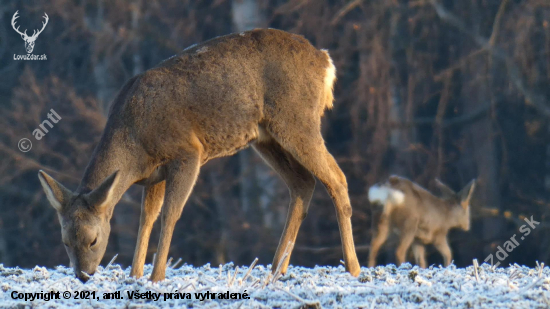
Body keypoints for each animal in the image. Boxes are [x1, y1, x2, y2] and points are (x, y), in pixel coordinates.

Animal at [40, 28, 366, 282]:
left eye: (93, 240)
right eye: (65, 241)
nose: (83, 275)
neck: (133, 143)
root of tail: (325, 62)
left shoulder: (186, 151)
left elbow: (170, 214)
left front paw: (156, 276)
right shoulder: (155, 174)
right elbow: (147, 217)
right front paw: (135, 274)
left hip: (298, 119)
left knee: (336, 178)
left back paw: (352, 267)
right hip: (266, 137)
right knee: (302, 183)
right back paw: (276, 270)